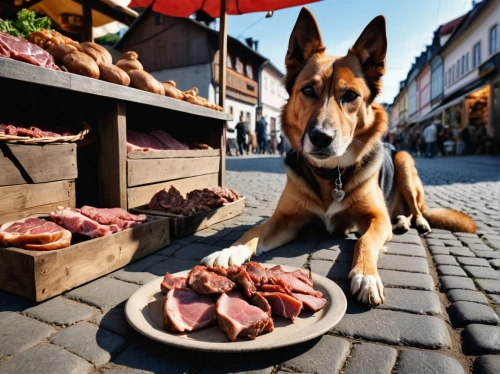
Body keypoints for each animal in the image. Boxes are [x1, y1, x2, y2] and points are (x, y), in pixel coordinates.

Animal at [203, 8, 476, 306]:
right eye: (308, 90)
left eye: (350, 95)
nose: (321, 137)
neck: (331, 174)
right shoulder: (287, 220)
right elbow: (254, 230)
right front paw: (231, 250)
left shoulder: (376, 219)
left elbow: (364, 240)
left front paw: (366, 276)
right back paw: (402, 221)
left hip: (404, 161)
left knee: (416, 208)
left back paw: (416, 221)